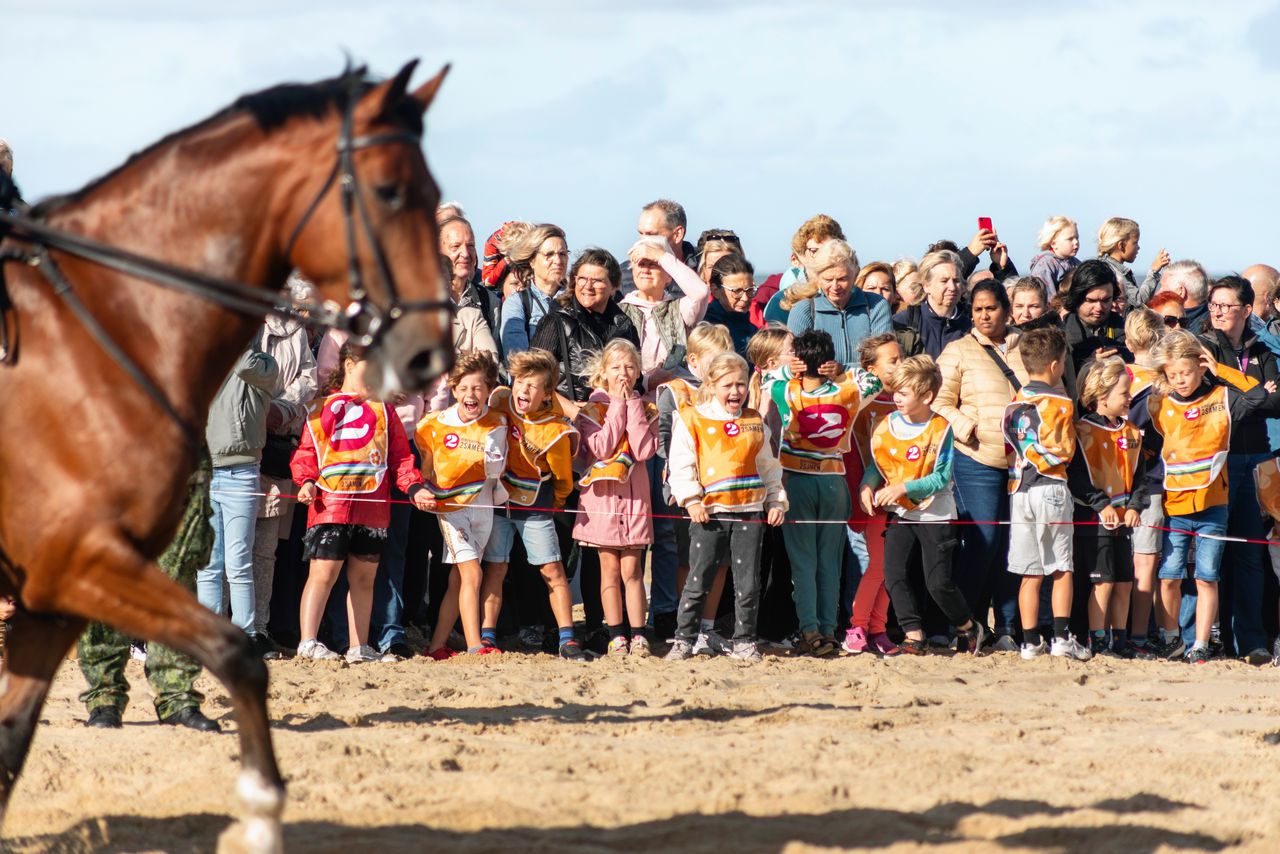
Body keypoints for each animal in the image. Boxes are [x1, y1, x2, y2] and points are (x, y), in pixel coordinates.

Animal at [0, 58, 455, 850]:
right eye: (391, 190)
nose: (430, 353)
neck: (105, 327)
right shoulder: (78, 561)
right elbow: (240, 649)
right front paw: (261, 813)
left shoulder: (48, 598)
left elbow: (10, 742)